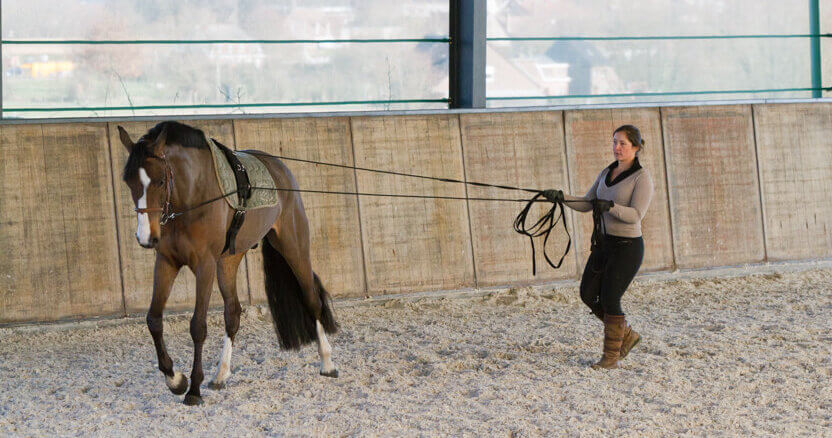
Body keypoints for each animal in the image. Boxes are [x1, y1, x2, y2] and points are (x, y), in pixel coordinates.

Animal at [117, 120, 338, 408]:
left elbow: (197, 327)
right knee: (233, 312)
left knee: (312, 300)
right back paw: (220, 375)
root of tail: (280, 168)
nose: (145, 237)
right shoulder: (166, 263)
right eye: (129, 181)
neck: (192, 196)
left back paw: (327, 363)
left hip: (294, 246)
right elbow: (153, 320)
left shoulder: (205, 266)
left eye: (161, 181)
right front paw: (175, 380)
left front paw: (193, 389)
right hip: (229, 261)